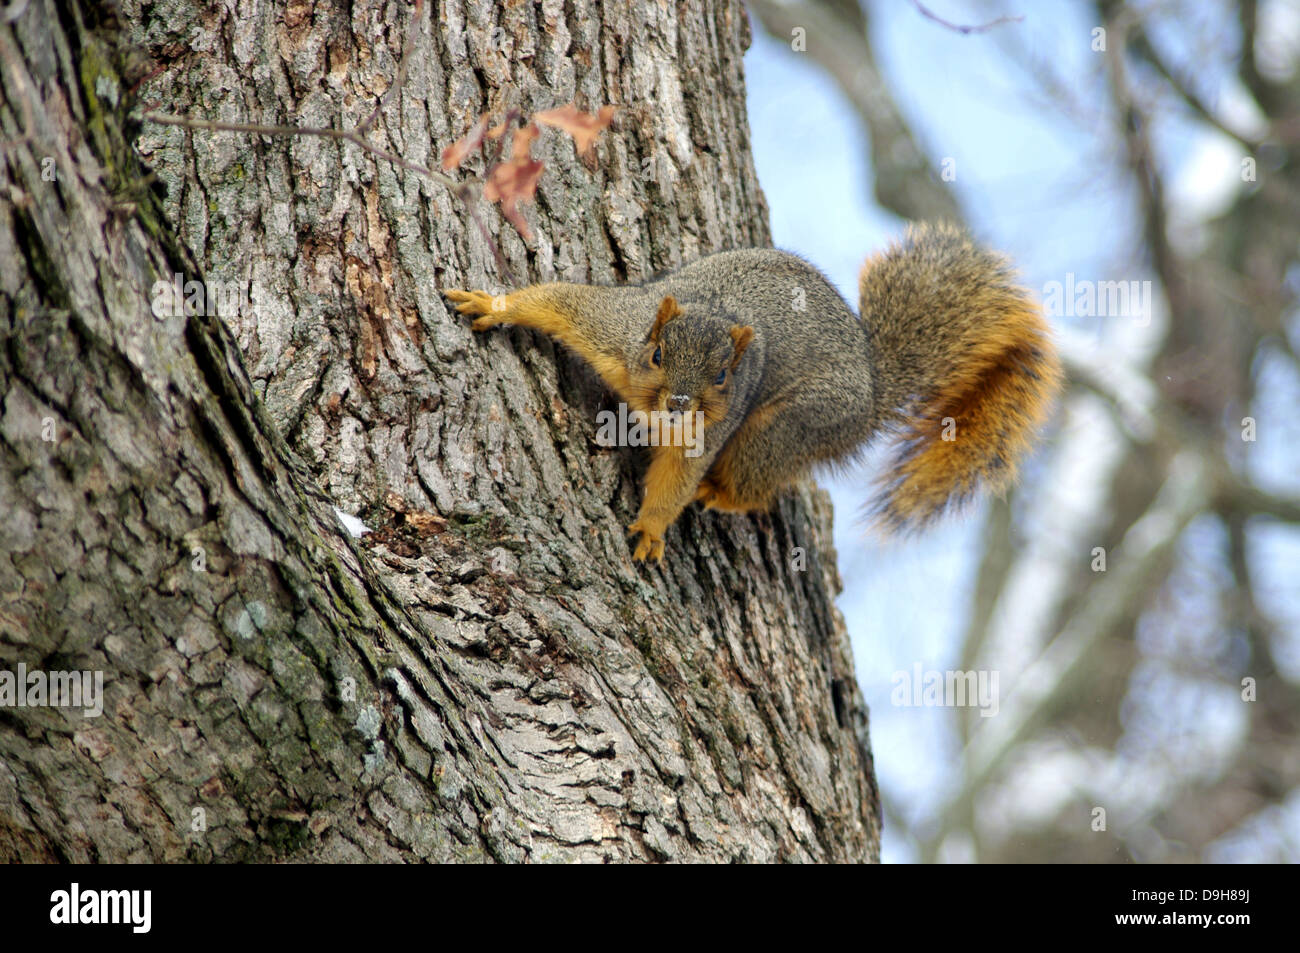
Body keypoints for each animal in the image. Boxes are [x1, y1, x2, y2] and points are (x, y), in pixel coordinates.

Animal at [444, 223, 1055, 561]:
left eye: (723, 377)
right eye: (657, 354)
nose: (679, 405)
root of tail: (871, 393)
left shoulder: (711, 425)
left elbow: (678, 474)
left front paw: (652, 527)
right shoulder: (614, 328)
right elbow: (559, 303)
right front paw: (492, 305)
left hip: (791, 425)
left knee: (757, 482)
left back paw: (721, 493)